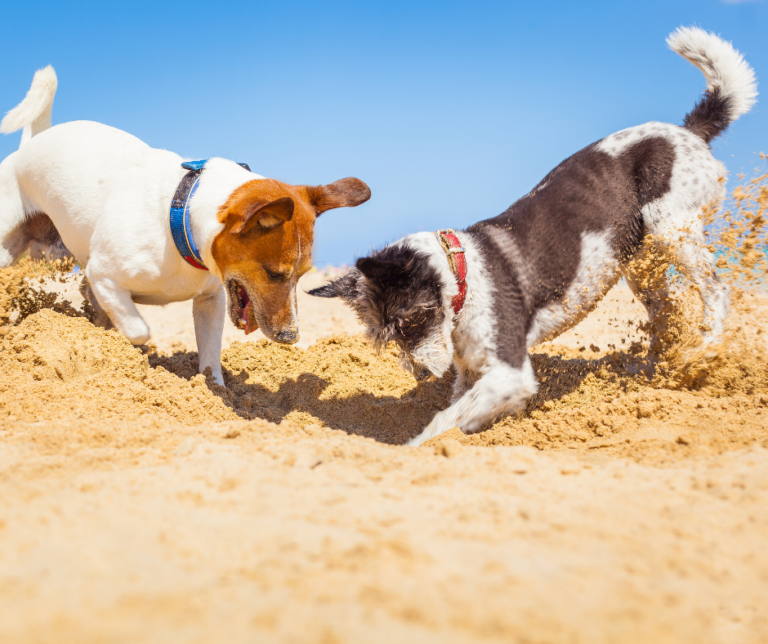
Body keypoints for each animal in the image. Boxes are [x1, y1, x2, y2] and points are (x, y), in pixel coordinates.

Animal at [0, 68, 372, 384]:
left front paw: (214, 389)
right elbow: (139, 329)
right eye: (274, 273)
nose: (291, 337)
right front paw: (129, 353)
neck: (180, 220)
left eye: (302, 275)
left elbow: (210, 355)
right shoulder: (103, 275)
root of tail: (32, 143)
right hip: (8, 249)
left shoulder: (210, 300)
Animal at [310, 27, 756, 446]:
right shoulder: (473, 372)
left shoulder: (510, 371)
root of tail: (688, 132)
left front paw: (413, 447)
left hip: (672, 229)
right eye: (383, 336)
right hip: (640, 261)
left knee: (717, 292)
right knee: (666, 310)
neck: (463, 275)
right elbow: (461, 408)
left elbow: (443, 422)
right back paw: (653, 370)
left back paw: (703, 353)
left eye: (409, 321)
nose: (419, 374)